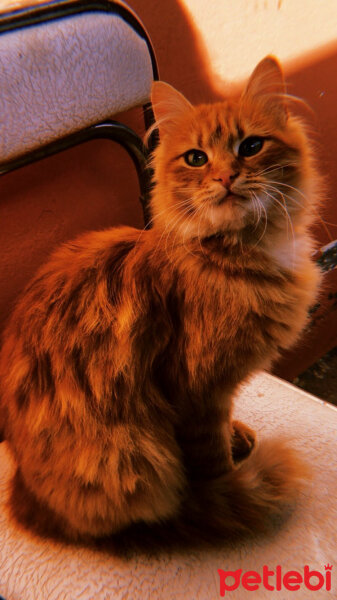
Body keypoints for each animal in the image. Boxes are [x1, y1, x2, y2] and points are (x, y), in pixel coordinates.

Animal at [0, 57, 320, 544]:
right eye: (196, 158)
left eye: (250, 146)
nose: (226, 177)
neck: (237, 249)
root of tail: (24, 494)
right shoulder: (196, 389)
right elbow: (211, 459)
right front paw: (229, 484)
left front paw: (237, 438)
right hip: (133, 455)